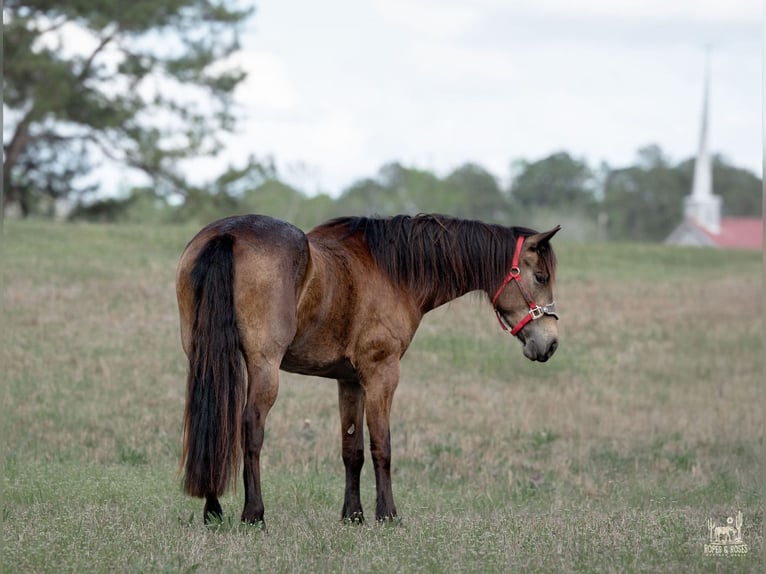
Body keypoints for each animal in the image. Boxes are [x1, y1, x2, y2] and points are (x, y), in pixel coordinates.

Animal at [176, 213, 560, 526]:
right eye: (540, 276)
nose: (550, 343)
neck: (394, 271)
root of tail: (228, 234)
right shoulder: (381, 374)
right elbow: (382, 446)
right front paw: (388, 515)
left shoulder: (349, 381)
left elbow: (353, 450)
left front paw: (354, 515)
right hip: (264, 367)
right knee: (251, 429)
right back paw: (253, 515)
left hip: (205, 358)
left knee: (214, 421)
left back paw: (213, 510)